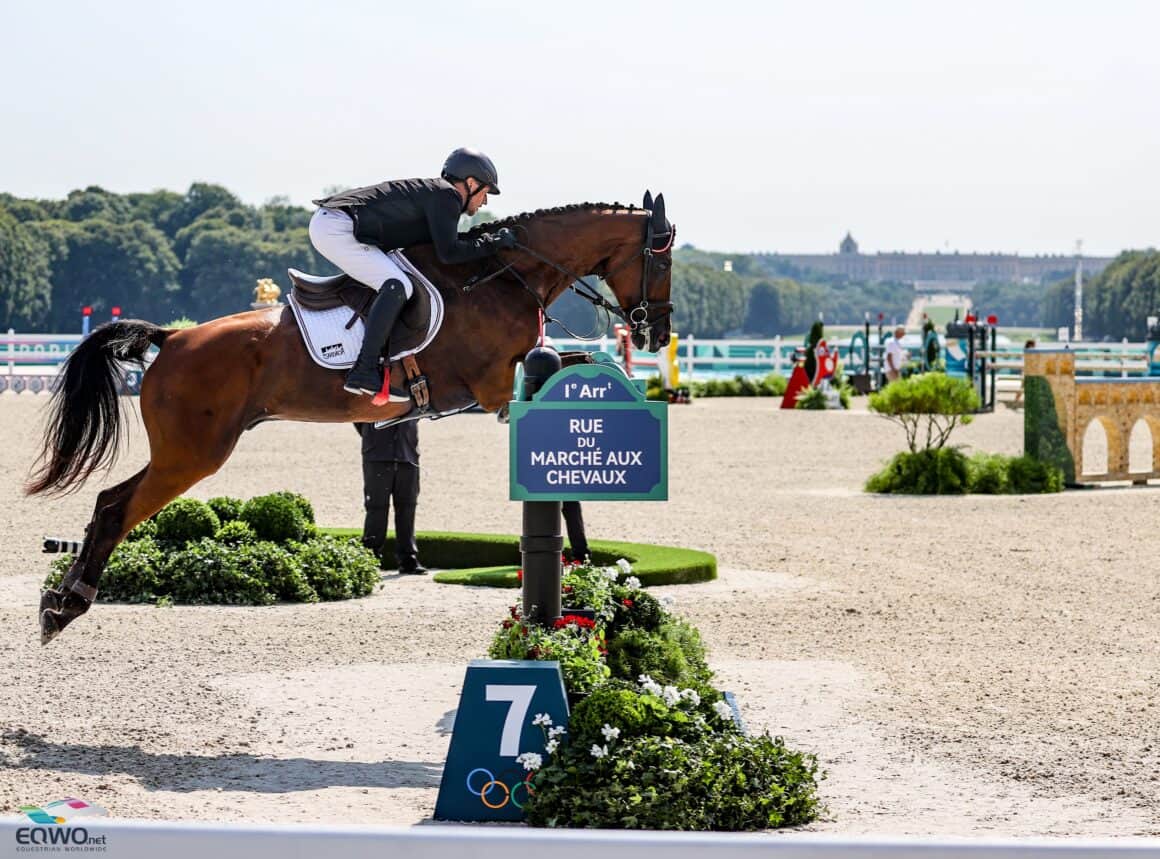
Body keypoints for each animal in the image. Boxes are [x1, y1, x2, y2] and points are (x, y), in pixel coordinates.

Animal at [27, 191, 677, 639]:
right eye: (661, 259)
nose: (655, 332)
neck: (504, 276)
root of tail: (173, 337)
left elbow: (580, 360)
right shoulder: (494, 386)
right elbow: (575, 361)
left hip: (184, 452)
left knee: (110, 502)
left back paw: (62, 602)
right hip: (193, 454)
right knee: (118, 508)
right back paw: (67, 605)